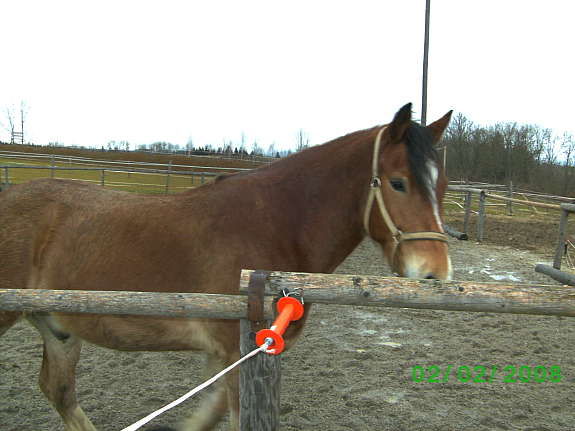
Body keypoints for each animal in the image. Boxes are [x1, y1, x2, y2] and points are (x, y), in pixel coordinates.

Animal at [0, 103, 454, 430]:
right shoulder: (241, 351)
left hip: (58, 327)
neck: (272, 227)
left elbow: (211, 411)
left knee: (58, 391)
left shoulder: (231, 355)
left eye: (443, 185)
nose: (435, 272)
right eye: (398, 182)